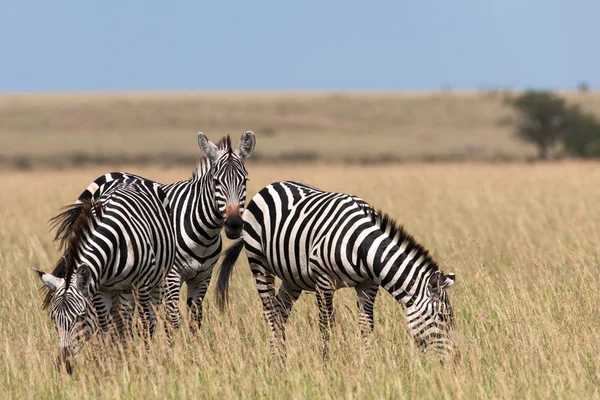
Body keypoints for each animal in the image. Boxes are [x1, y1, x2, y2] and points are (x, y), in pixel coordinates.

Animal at [33, 177, 175, 374]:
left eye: (80, 317)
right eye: (53, 318)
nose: (64, 366)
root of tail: (128, 177)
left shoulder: (142, 285)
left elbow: (145, 325)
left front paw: (146, 363)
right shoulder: (101, 290)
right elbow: (107, 328)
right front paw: (111, 365)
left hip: (156, 281)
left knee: (149, 319)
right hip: (121, 292)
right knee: (122, 323)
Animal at [51, 131, 255, 332]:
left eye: (245, 180)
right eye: (216, 181)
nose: (234, 224)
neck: (204, 235)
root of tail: (105, 176)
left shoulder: (203, 277)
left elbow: (195, 319)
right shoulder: (171, 276)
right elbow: (173, 319)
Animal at [216, 181, 460, 362]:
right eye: (443, 317)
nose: (455, 360)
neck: (362, 247)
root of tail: (272, 185)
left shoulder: (368, 284)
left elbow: (366, 325)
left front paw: (368, 365)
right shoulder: (323, 281)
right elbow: (326, 325)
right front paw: (327, 364)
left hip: (292, 278)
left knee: (279, 311)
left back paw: (279, 359)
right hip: (259, 263)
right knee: (269, 310)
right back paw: (277, 359)